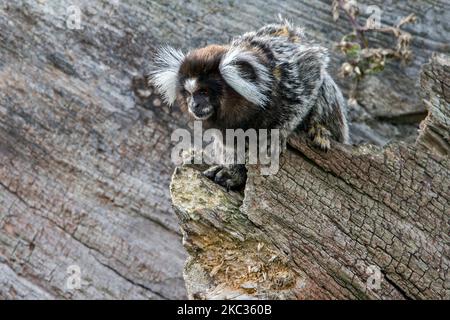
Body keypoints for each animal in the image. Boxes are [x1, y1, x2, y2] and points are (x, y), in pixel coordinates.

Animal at [148, 21, 348, 190]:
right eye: (188, 94)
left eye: (203, 92)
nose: (193, 104)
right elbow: (231, 145)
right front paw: (234, 174)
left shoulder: (289, 74)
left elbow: (312, 71)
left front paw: (278, 135)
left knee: (324, 85)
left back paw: (319, 129)